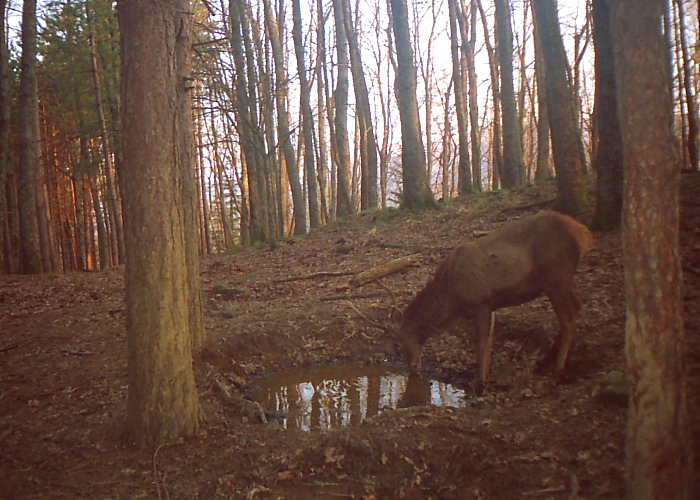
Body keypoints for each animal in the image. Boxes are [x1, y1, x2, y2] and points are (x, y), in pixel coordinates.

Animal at [348, 210, 592, 378]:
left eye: (399, 342)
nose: (413, 367)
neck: (452, 298)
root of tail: (583, 233)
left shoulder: (480, 301)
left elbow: (481, 342)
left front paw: (479, 381)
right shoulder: (492, 304)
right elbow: (491, 339)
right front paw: (486, 375)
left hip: (555, 275)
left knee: (568, 316)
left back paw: (558, 368)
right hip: (560, 278)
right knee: (577, 307)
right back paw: (548, 358)